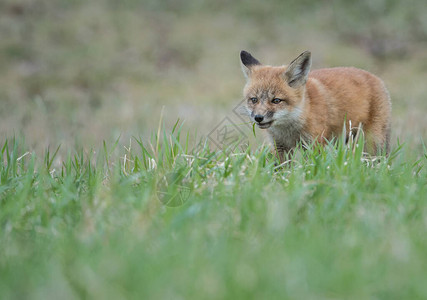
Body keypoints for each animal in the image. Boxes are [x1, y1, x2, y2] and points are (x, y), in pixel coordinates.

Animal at [239, 50, 392, 161]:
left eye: (276, 100)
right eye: (254, 99)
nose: (258, 117)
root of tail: (377, 78)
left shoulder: (314, 145)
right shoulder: (280, 146)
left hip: (371, 141)